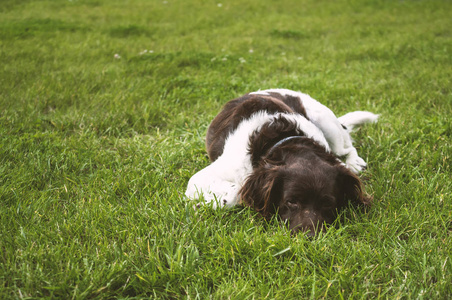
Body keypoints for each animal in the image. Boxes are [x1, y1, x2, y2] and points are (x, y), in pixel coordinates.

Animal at [184, 88, 378, 236]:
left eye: (328, 203)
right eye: (291, 201)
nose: (310, 237)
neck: (282, 139)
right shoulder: (206, 175)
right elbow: (235, 190)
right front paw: (209, 201)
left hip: (328, 125)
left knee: (347, 147)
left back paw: (354, 162)